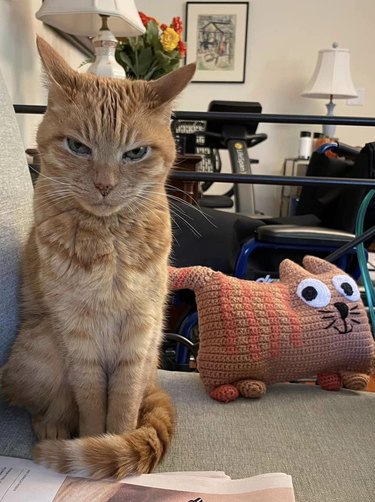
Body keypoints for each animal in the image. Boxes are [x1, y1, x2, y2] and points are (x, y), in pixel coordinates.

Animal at [0, 36, 194, 478]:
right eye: (77, 147)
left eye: (135, 153)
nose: (104, 185)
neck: (110, 243)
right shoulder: (77, 336)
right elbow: (90, 405)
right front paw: (93, 442)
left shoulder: (140, 332)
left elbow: (123, 407)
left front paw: (117, 444)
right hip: (43, 345)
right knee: (45, 407)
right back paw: (54, 428)